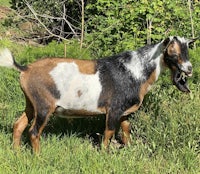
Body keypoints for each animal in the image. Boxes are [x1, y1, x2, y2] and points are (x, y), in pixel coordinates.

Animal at [0, 36, 197, 152]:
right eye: (173, 51)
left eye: (187, 50)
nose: (189, 69)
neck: (134, 71)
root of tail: (25, 69)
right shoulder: (114, 109)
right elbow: (109, 132)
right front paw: (104, 153)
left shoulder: (124, 110)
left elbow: (126, 129)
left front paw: (129, 148)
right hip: (43, 106)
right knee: (33, 131)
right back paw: (38, 156)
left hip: (31, 103)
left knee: (18, 125)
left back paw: (17, 153)